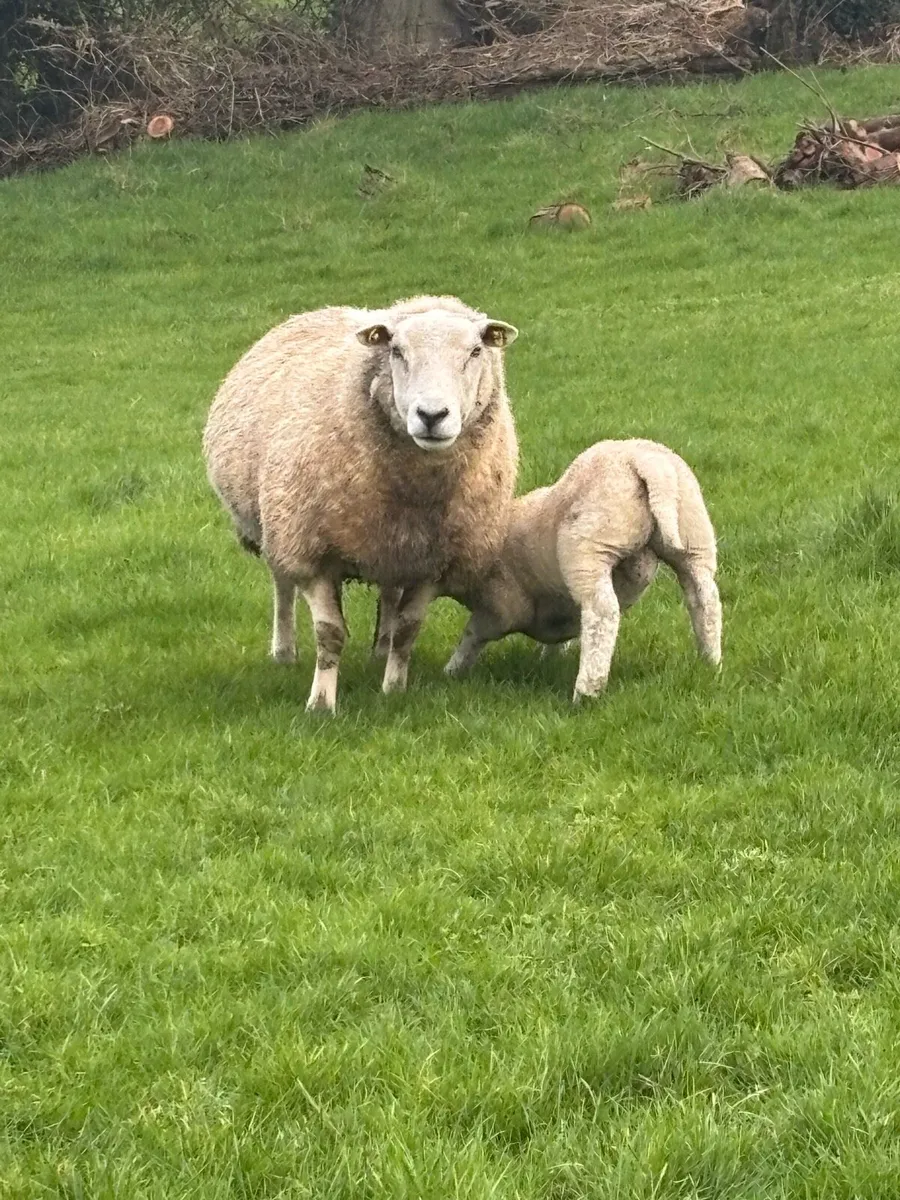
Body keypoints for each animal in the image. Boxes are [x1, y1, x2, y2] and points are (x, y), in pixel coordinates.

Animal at [202, 295, 519, 713]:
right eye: (396, 351)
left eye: (476, 351)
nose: (432, 416)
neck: (417, 494)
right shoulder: (310, 550)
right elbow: (330, 633)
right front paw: (321, 704)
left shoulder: (434, 562)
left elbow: (407, 629)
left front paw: (394, 689)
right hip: (277, 524)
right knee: (282, 585)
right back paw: (284, 652)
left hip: (391, 546)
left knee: (389, 592)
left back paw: (379, 652)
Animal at [443, 438, 721, 700]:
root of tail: (644, 462)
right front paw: (551, 657)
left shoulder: (502, 607)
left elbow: (473, 632)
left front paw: (452, 670)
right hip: (694, 536)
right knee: (705, 599)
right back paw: (710, 662)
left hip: (589, 546)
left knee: (601, 612)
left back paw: (586, 692)